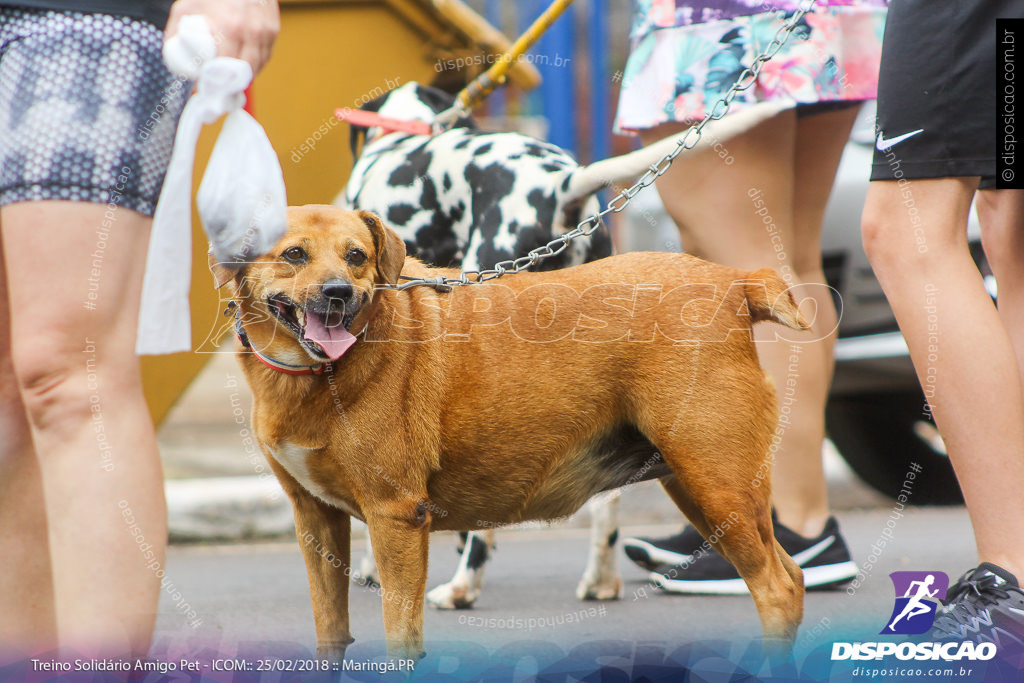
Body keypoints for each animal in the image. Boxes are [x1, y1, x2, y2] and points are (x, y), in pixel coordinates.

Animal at [214, 205, 806, 659]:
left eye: (356, 256)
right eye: (294, 254)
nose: (338, 292)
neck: (321, 372)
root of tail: (733, 283)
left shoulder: (395, 517)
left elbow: (401, 638)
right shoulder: (316, 519)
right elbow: (331, 632)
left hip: (717, 485)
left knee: (776, 590)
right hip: (701, 490)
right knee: (792, 578)